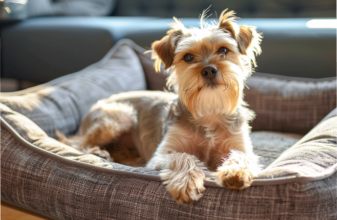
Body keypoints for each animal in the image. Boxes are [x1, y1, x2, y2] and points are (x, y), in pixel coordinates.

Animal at [56, 8, 262, 205]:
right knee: (75, 142)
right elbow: (183, 156)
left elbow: (241, 155)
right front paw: (186, 184)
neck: (208, 109)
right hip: (121, 115)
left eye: (224, 50)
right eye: (188, 57)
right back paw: (98, 152)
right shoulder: (162, 155)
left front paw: (236, 172)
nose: (209, 69)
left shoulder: (241, 146)